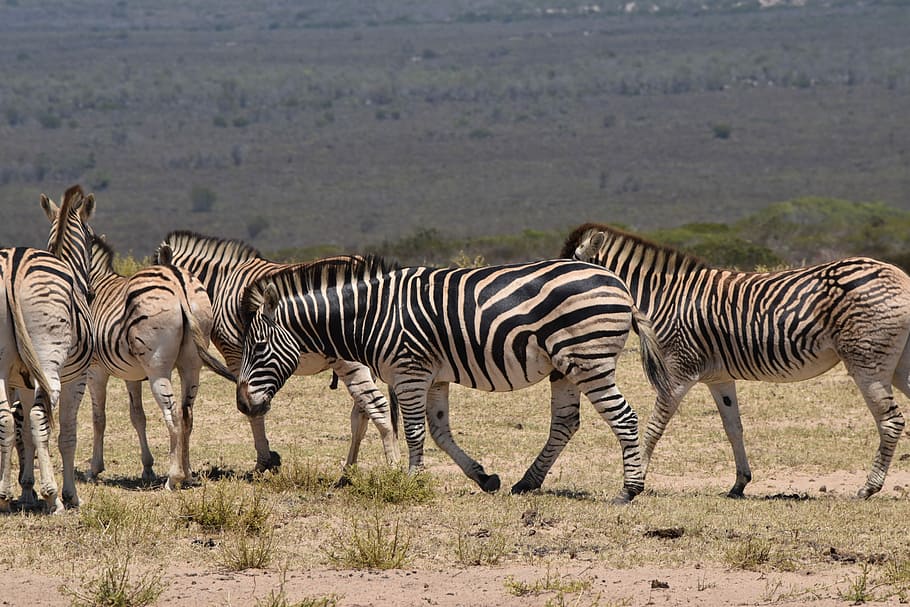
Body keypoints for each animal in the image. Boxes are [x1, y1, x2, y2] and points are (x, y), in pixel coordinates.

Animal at [0, 185, 95, 513]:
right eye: (93, 240)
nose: (91, 293)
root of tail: (12, 268)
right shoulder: (77, 377)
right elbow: (67, 435)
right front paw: (70, 495)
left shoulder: (25, 381)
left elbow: (25, 433)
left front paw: (22, 490)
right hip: (49, 361)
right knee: (40, 418)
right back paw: (53, 497)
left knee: (6, 419)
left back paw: (4, 498)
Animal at [86, 235, 235, 489]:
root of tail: (178, 284)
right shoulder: (131, 374)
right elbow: (137, 416)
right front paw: (147, 468)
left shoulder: (96, 370)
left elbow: (99, 419)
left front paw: (95, 469)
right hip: (191, 363)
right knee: (187, 414)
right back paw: (187, 473)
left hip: (158, 367)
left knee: (173, 414)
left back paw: (173, 478)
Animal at [159, 231, 399, 475]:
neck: (219, 285)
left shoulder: (236, 356)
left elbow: (252, 410)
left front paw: (264, 461)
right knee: (362, 413)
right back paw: (349, 468)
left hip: (350, 361)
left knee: (375, 406)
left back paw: (392, 469)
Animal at [236, 256, 673, 503]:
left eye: (258, 345)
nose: (243, 404)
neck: (369, 316)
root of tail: (620, 285)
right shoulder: (434, 377)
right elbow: (440, 431)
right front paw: (484, 478)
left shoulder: (409, 370)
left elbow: (415, 431)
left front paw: (412, 481)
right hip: (563, 367)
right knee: (565, 423)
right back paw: (527, 483)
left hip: (587, 358)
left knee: (624, 417)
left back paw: (629, 490)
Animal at [564, 222, 910, 499]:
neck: (664, 298)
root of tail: (899, 276)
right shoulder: (719, 377)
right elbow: (734, 428)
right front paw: (739, 483)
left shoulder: (679, 371)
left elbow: (654, 427)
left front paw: (637, 478)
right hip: (897, 364)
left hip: (867, 362)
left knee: (891, 421)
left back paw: (868, 488)